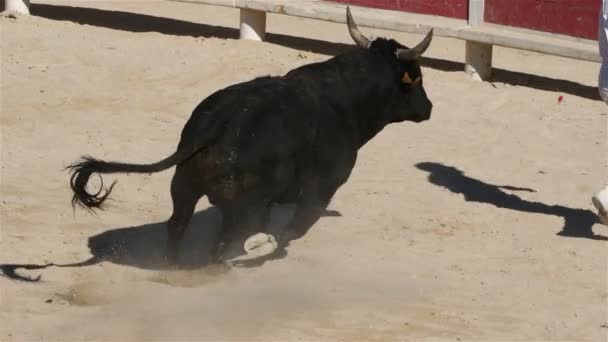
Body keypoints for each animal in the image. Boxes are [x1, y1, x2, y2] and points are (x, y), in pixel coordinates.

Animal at [67, 8, 432, 264]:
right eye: (416, 77)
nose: (428, 108)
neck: (346, 94)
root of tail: (216, 124)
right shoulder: (323, 188)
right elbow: (294, 228)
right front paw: (269, 246)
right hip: (241, 208)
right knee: (223, 243)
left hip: (184, 188)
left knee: (177, 227)